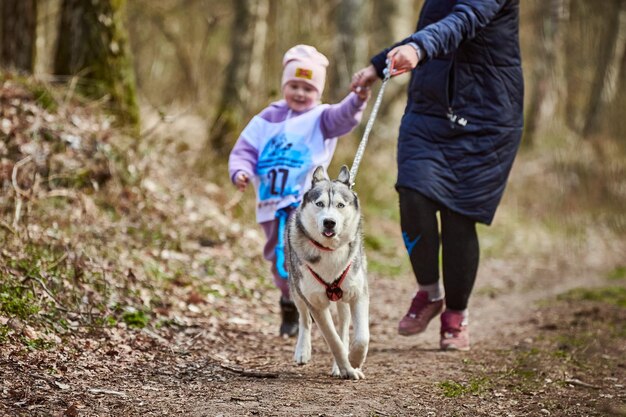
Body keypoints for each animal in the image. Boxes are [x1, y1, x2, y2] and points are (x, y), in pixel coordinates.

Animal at [286, 164, 368, 378]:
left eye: (340, 205)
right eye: (320, 204)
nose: (329, 222)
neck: (330, 251)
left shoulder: (358, 293)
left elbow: (361, 337)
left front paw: (354, 361)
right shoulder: (315, 302)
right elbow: (332, 340)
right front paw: (347, 367)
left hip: (343, 299)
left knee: (344, 328)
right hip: (296, 289)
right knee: (304, 319)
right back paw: (303, 351)